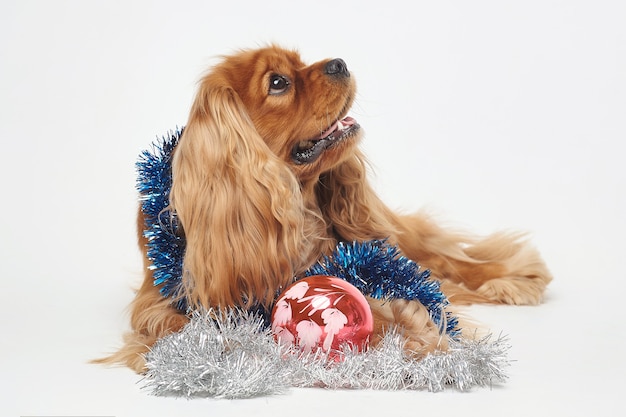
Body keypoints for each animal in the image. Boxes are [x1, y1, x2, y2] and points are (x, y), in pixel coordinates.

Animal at [98, 44, 552, 370]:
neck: (296, 207)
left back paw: (511, 277)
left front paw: (413, 335)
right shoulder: (157, 301)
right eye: (278, 82)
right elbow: (172, 325)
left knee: (443, 259)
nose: (339, 62)